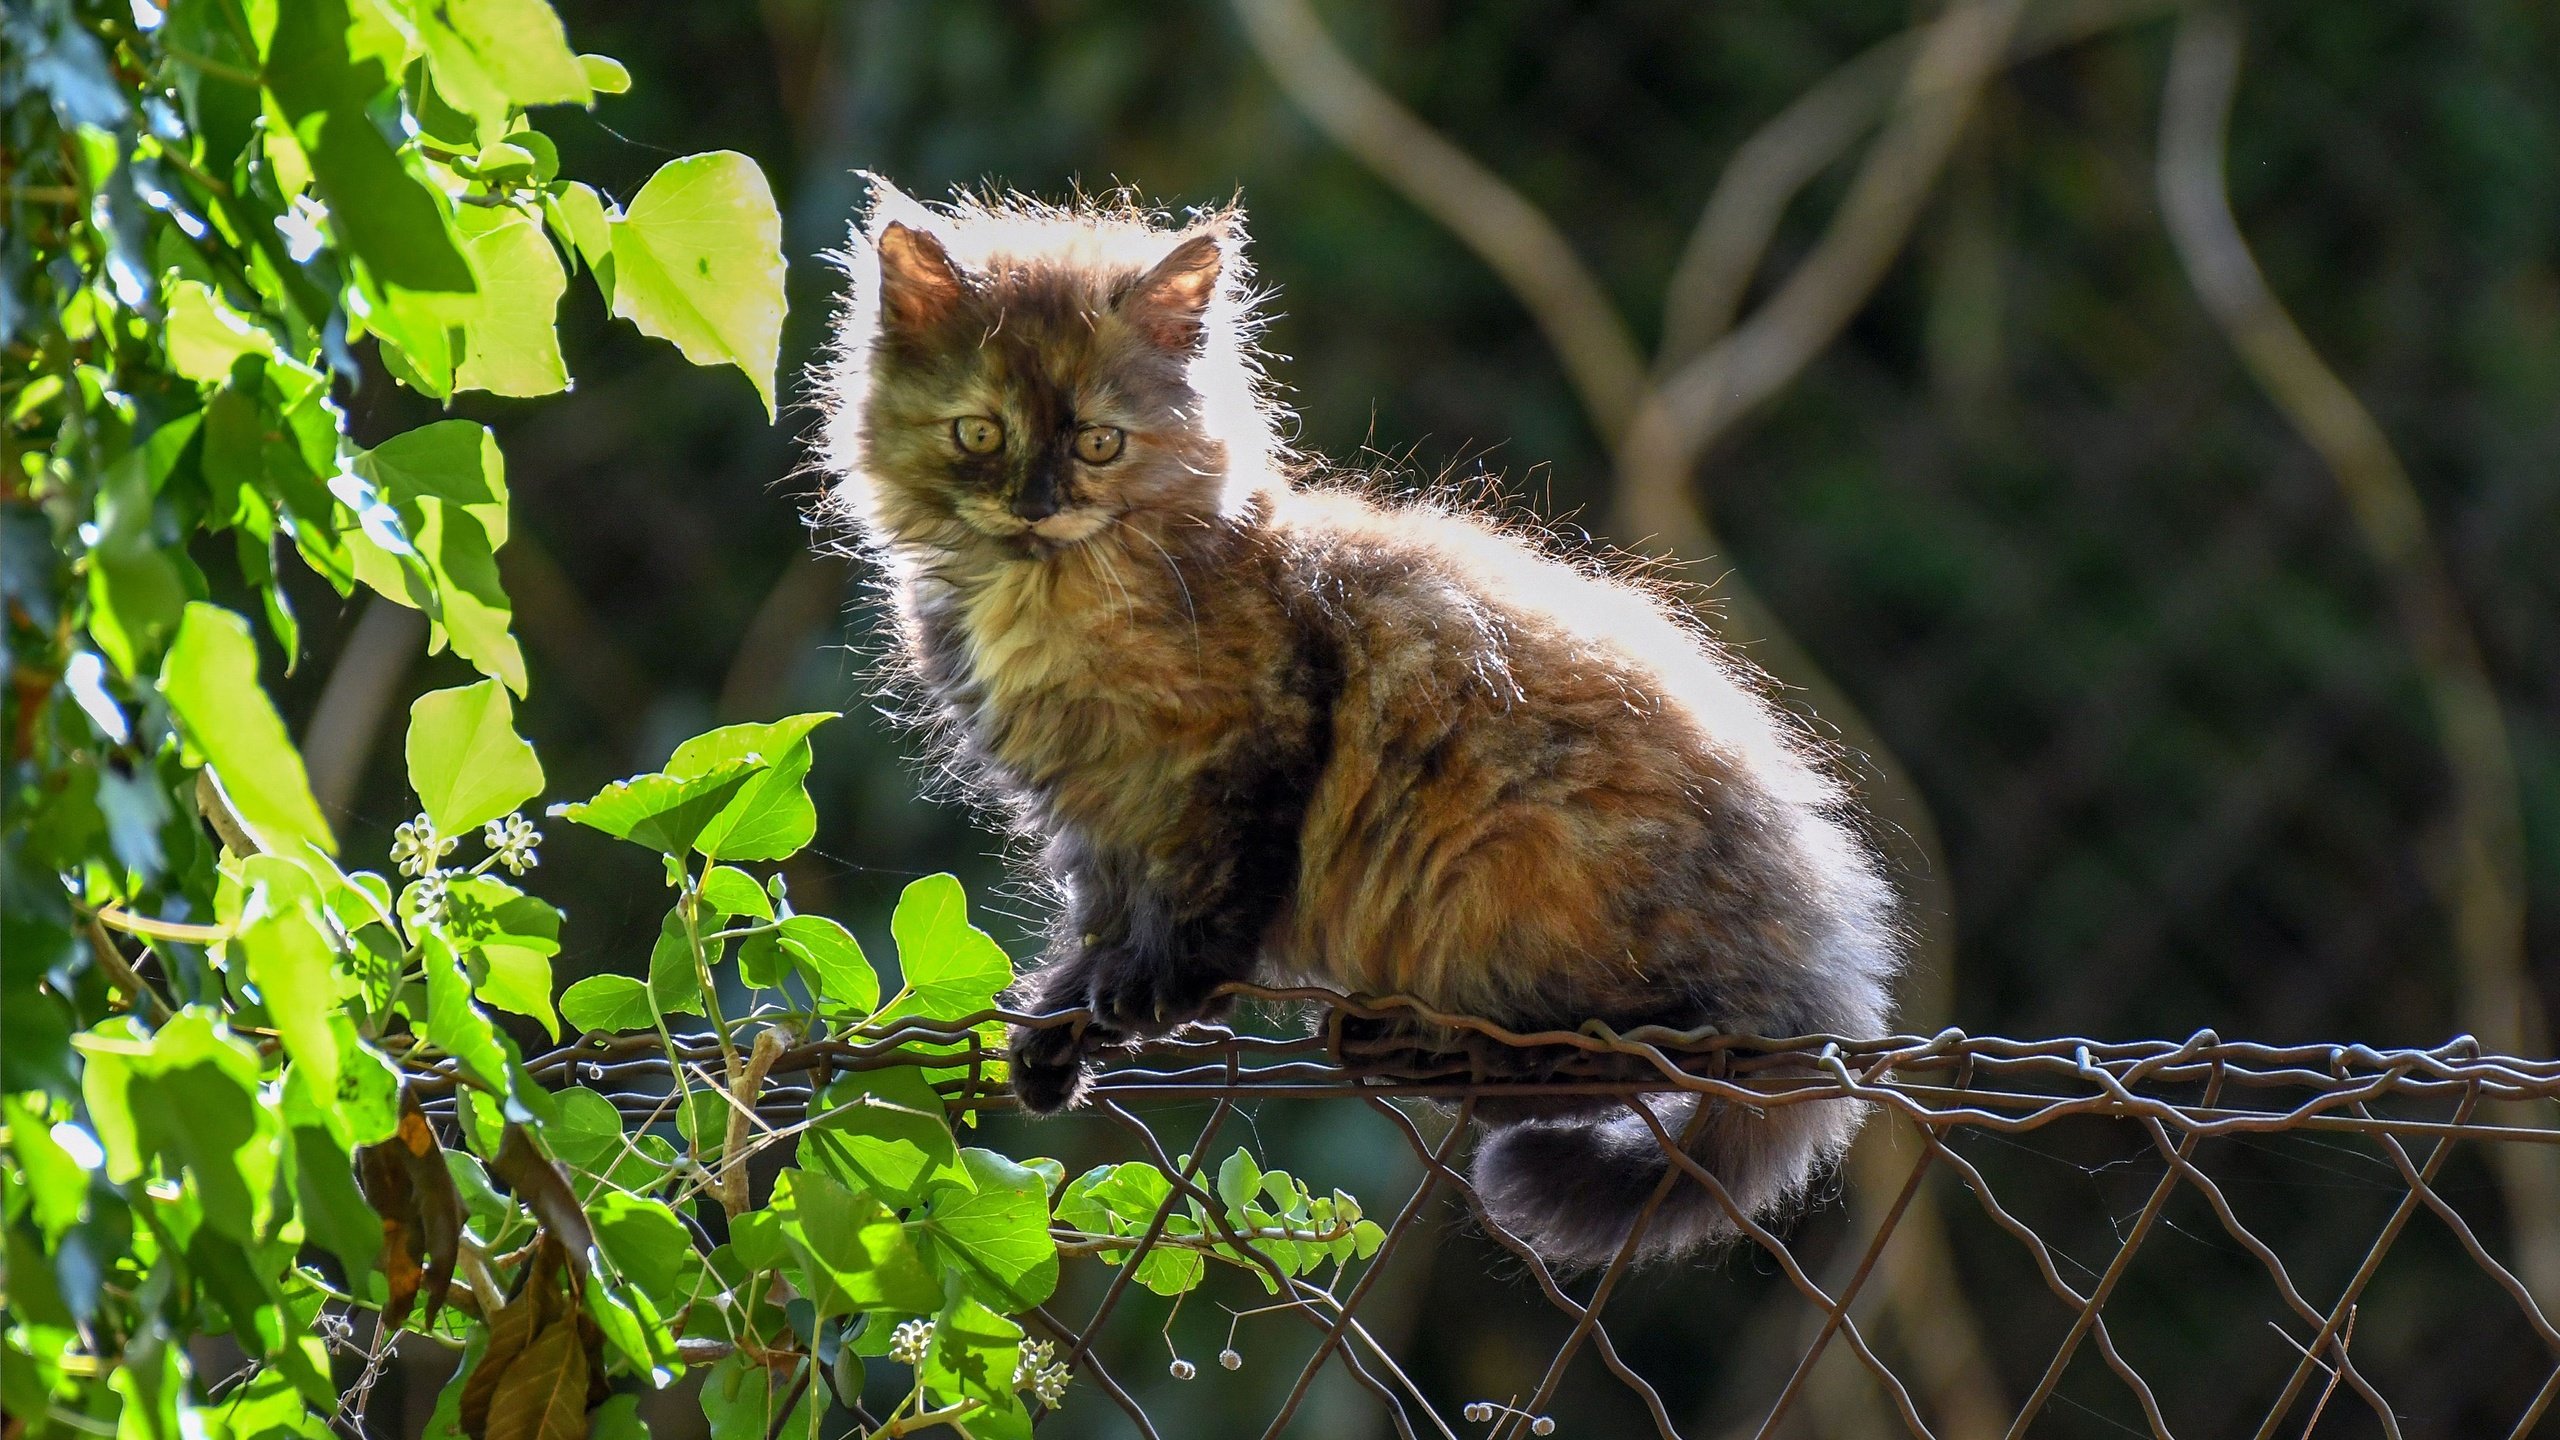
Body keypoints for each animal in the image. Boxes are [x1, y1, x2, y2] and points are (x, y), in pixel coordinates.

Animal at [819, 184, 1904, 1260]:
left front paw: (1152, 993)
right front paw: (1059, 1026)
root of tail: (1821, 961)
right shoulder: (1091, 807)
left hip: (1540, 867)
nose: (1036, 505)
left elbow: (1206, 894)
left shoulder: (1243, 748)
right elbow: (1099, 917)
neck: (1044, 597)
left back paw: (1436, 1056)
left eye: (1098, 442)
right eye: (980, 434)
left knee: (1661, 1048)